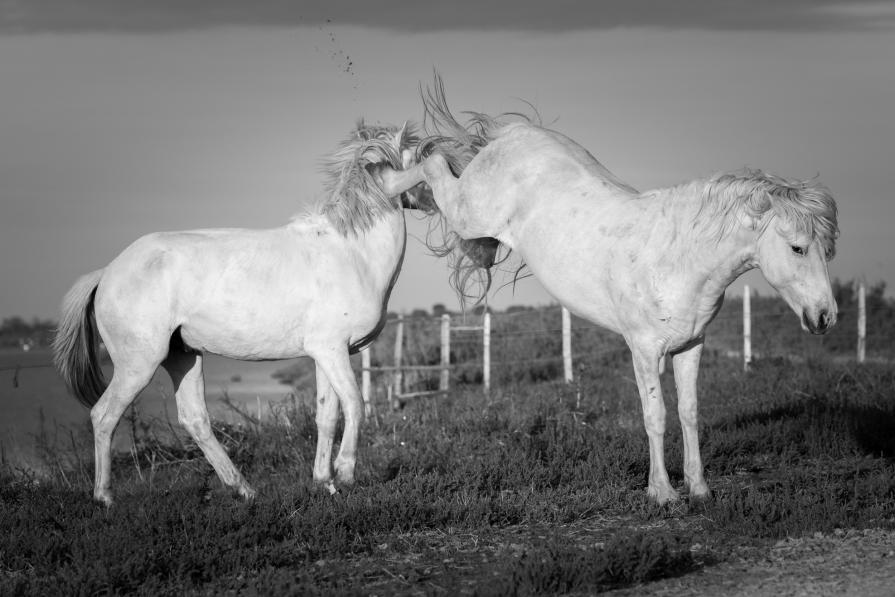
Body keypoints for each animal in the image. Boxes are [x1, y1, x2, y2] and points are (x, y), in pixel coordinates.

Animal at [53, 121, 430, 505]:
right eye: (418, 157)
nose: (432, 202)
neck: (351, 252)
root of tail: (107, 272)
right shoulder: (331, 350)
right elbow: (355, 403)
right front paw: (346, 472)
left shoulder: (329, 352)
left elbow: (327, 414)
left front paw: (325, 481)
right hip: (138, 364)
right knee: (103, 416)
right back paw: (105, 498)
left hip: (183, 356)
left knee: (195, 419)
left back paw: (244, 489)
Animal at [372, 80, 839, 504]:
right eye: (798, 247)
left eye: (828, 249)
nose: (825, 316)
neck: (678, 256)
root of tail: (514, 135)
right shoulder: (645, 349)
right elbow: (656, 415)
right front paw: (663, 493)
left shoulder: (692, 345)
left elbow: (689, 412)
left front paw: (699, 487)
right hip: (468, 212)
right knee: (433, 164)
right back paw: (386, 176)